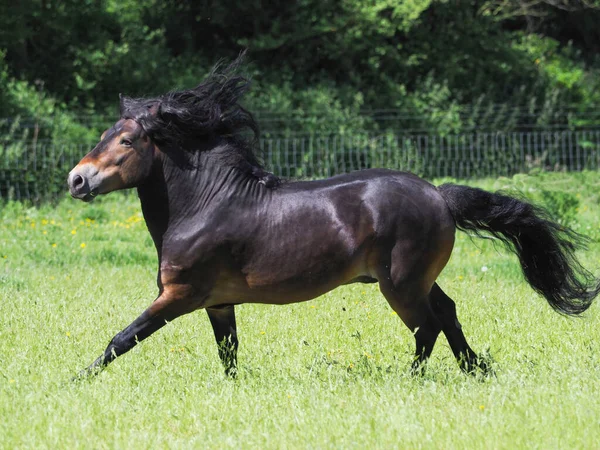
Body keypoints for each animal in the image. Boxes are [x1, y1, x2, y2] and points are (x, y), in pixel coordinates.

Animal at [67, 57, 600, 380]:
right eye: (104, 134)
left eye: (127, 141)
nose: (77, 180)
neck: (207, 204)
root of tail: (438, 195)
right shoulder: (217, 303)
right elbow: (229, 352)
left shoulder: (179, 296)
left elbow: (121, 338)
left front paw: (76, 379)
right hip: (418, 279)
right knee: (447, 313)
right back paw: (475, 370)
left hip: (400, 284)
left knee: (426, 327)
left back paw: (412, 381)